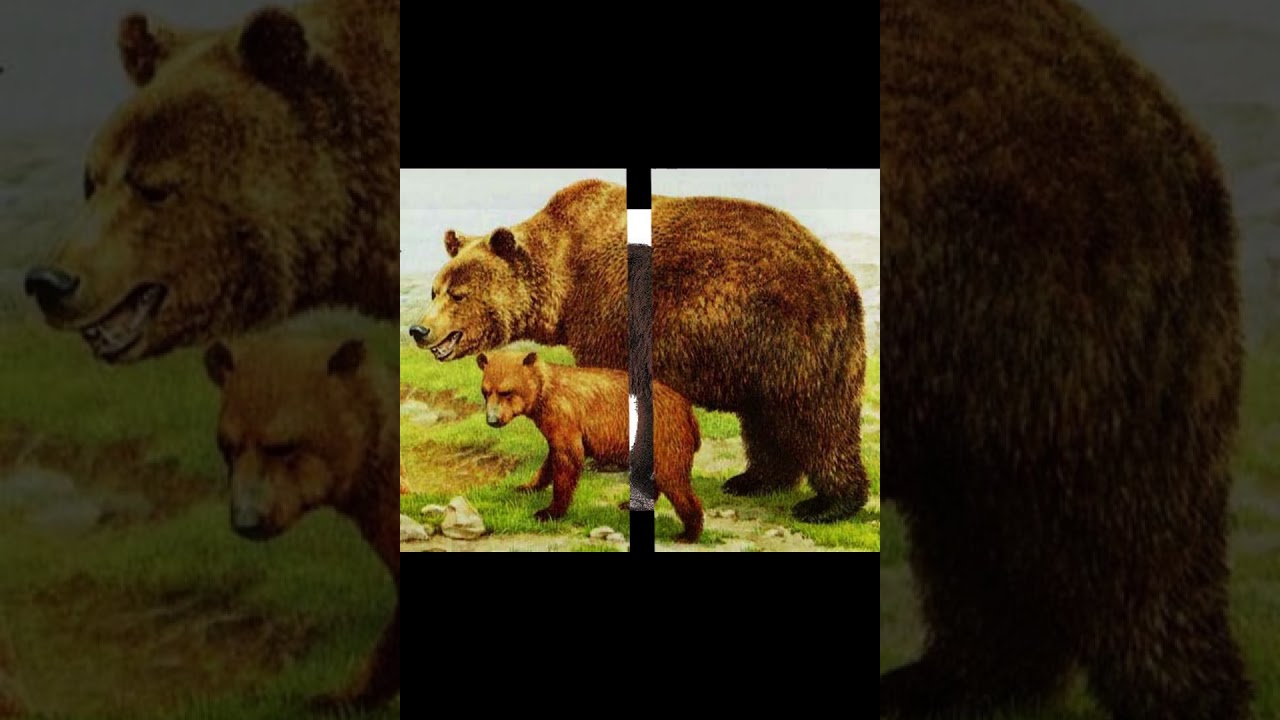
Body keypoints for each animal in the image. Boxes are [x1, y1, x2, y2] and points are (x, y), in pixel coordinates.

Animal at [476, 350, 703, 543]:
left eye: (506, 391)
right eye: (485, 392)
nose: (492, 420)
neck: (543, 393)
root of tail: (688, 410)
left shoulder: (564, 414)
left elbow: (569, 458)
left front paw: (548, 511)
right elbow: (552, 457)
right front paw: (526, 486)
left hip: (664, 436)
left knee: (674, 480)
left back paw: (688, 533)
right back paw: (632, 503)